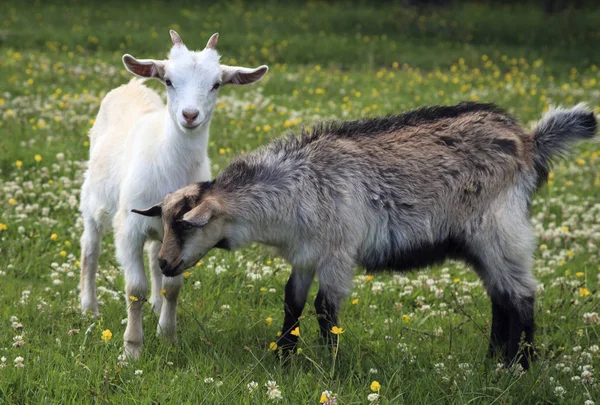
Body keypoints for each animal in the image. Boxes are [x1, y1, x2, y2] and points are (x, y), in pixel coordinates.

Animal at [78, 30, 270, 356]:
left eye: (216, 84)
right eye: (168, 80)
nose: (190, 115)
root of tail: (131, 86)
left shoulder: (188, 228)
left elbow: (173, 286)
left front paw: (168, 337)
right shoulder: (128, 227)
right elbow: (135, 289)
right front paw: (132, 348)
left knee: (155, 255)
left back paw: (155, 306)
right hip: (93, 200)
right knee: (90, 250)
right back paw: (89, 308)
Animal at [134, 101, 596, 366]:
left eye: (187, 224)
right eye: (165, 222)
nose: (165, 263)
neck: (296, 184)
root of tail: (528, 141)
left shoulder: (338, 250)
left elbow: (326, 308)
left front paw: (330, 366)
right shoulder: (306, 253)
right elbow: (292, 301)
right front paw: (284, 356)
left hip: (500, 229)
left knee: (522, 294)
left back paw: (522, 365)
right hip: (480, 243)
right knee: (500, 296)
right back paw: (494, 361)